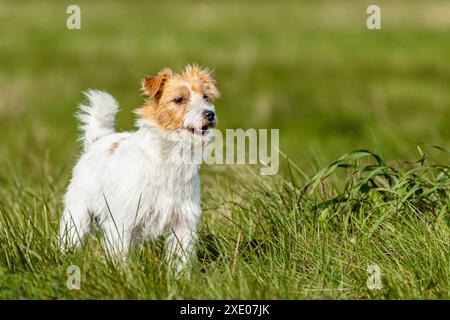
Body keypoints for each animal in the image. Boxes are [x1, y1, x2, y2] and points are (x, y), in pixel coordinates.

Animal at [59, 65, 221, 272]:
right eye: (179, 99)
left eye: (206, 97)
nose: (210, 114)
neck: (170, 154)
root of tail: (99, 140)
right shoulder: (122, 221)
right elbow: (118, 254)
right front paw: (121, 275)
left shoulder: (183, 222)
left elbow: (180, 257)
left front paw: (179, 278)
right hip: (78, 213)